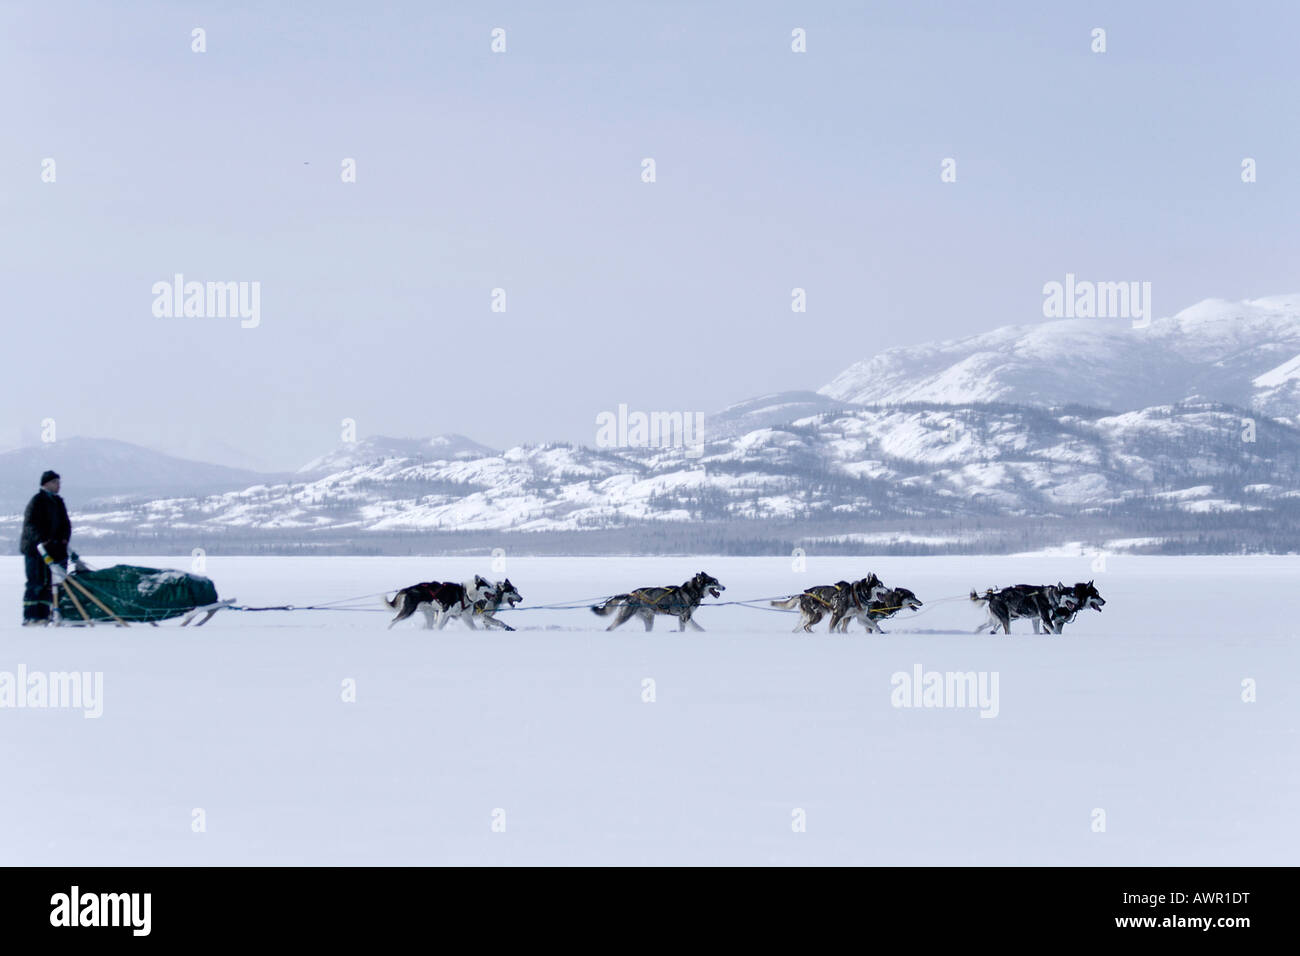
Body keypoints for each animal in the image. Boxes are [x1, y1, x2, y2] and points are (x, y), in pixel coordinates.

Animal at [595, 572, 728, 632]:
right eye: (714, 582)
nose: (724, 587)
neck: (693, 590)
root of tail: (630, 594)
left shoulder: (681, 618)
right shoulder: (685, 617)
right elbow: (698, 628)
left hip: (649, 618)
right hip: (625, 616)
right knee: (610, 627)